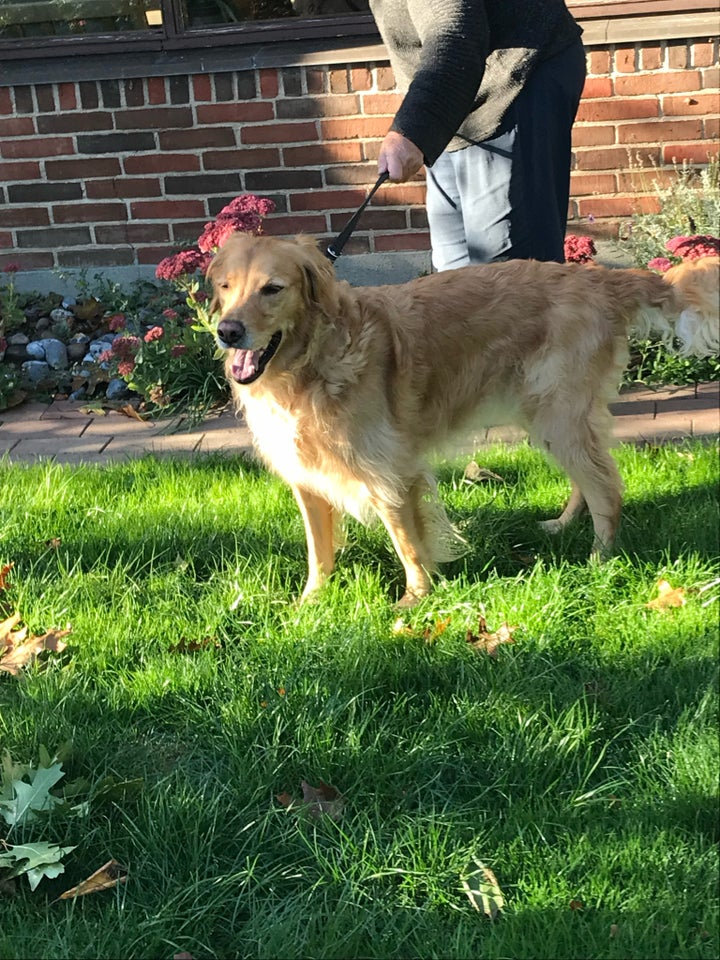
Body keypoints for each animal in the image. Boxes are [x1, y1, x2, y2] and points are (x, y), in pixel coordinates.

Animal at [207, 234, 716, 608]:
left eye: (273, 288)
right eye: (226, 287)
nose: (227, 331)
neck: (310, 367)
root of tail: (601, 279)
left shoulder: (389, 473)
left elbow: (408, 543)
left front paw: (415, 601)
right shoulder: (307, 478)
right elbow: (319, 552)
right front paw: (310, 604)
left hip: (557, 414)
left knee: (607, 487)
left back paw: (600, 560)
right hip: (551, 418)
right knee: (590, 478)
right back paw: (563, 525)